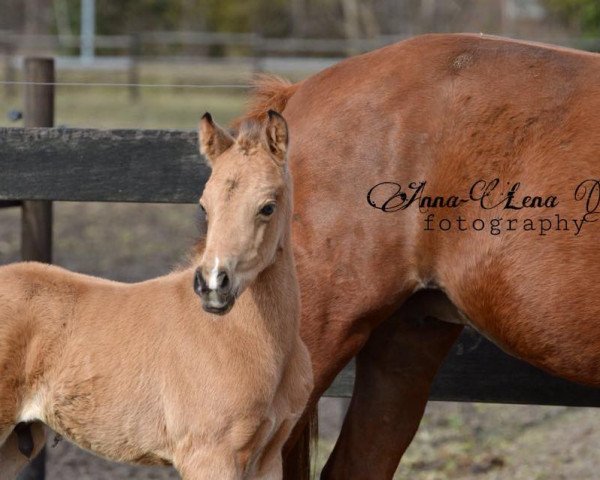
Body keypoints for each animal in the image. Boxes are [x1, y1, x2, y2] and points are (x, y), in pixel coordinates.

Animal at [0, 109, 310, 480]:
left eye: (268, 207)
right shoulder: (210, 457)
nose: (212, 285)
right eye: (204, 206)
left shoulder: (268, 458)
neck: (246, 338)